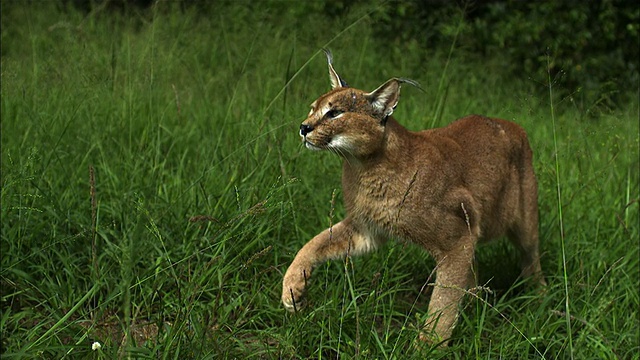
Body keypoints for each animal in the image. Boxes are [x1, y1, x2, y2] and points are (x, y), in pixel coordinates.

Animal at [282, 50, 544, 346]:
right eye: (312, 108)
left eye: (335, 113)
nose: (304, 127)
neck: (362, 167)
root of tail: (514, 125)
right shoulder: (367, 228)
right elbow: (316, 243)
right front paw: (292, 287)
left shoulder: (456, 238)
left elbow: (444, 298)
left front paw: (428, 345)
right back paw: (475, 305)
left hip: (524, 221)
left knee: (531, 256)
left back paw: (540, 298)